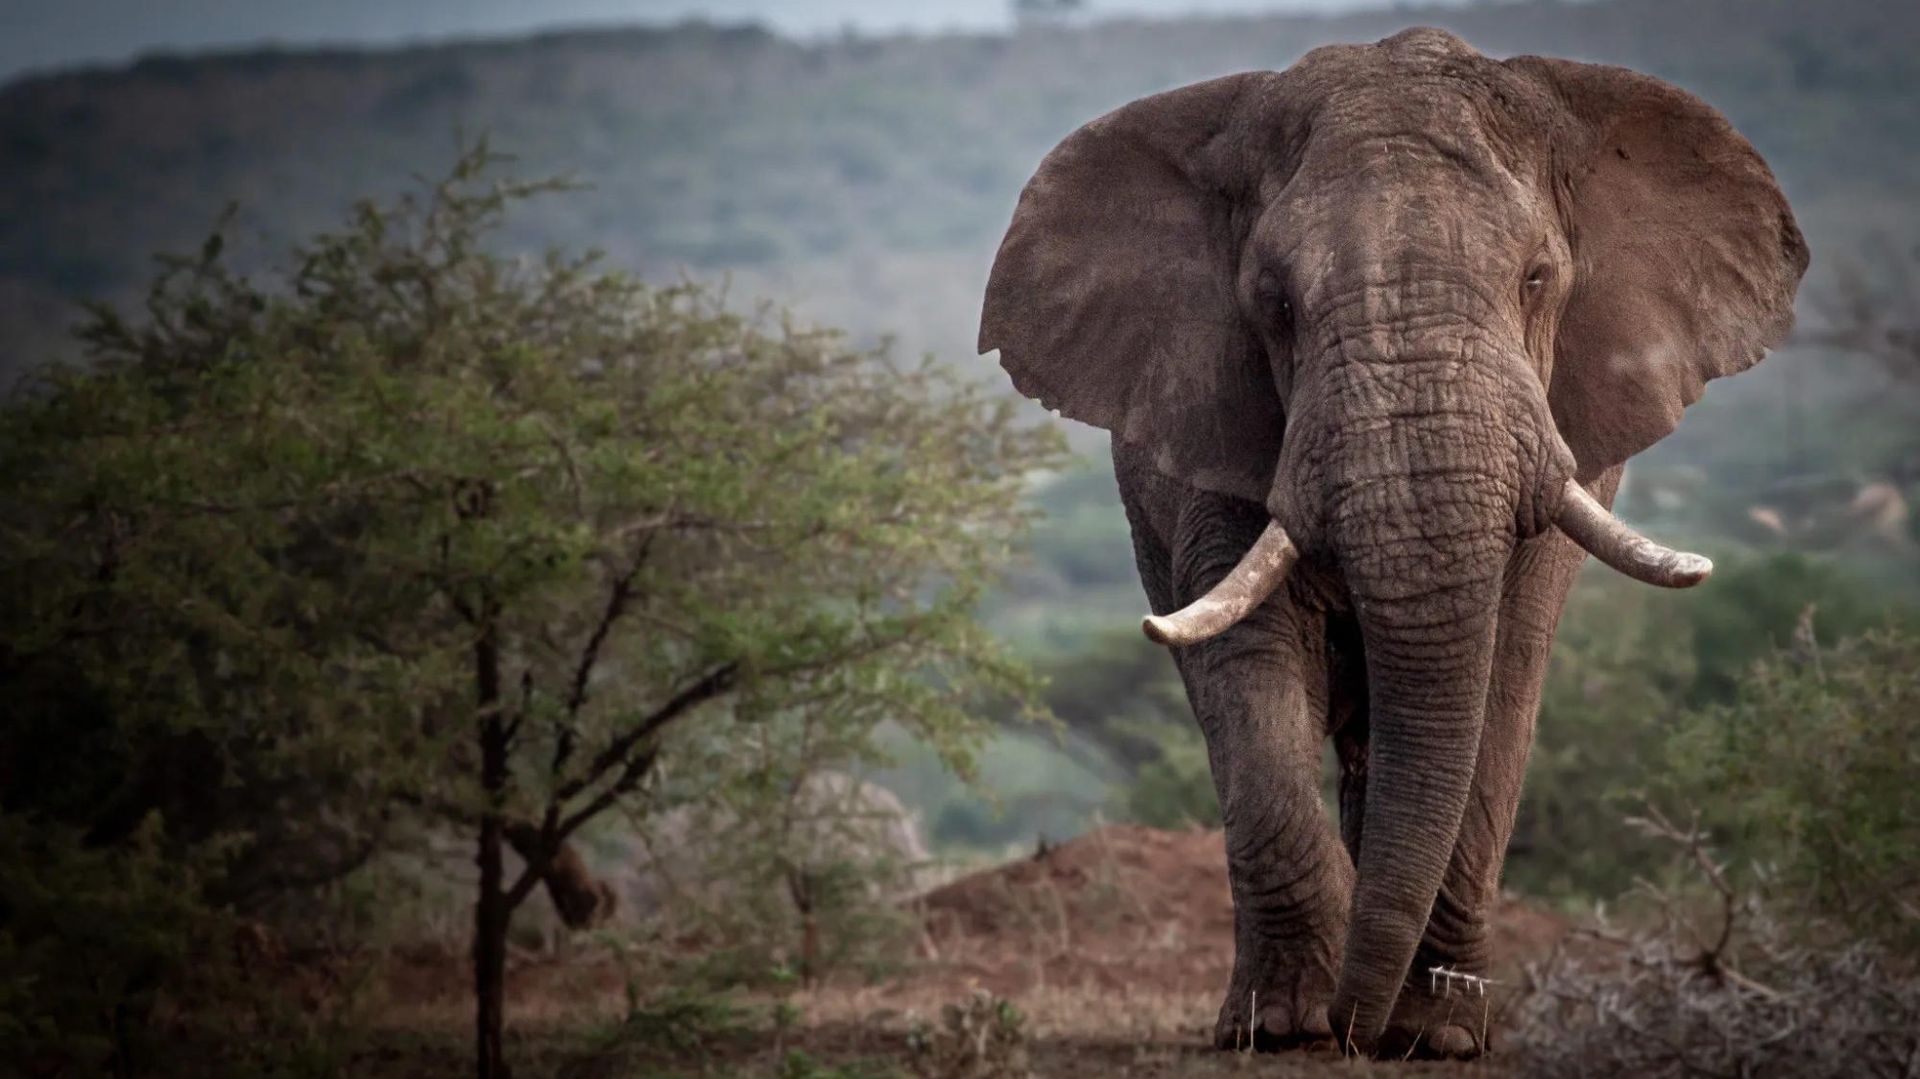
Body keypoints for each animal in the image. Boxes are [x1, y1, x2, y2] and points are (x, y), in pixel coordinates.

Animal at [977, 28, 1805, 1059]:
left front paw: (1437, 1037)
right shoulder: (1213, 419)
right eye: (1275, 304)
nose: (1353, 1026)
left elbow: (1507, 665)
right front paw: (1285, 1026)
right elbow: (1248, 660)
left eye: (1537, 278)